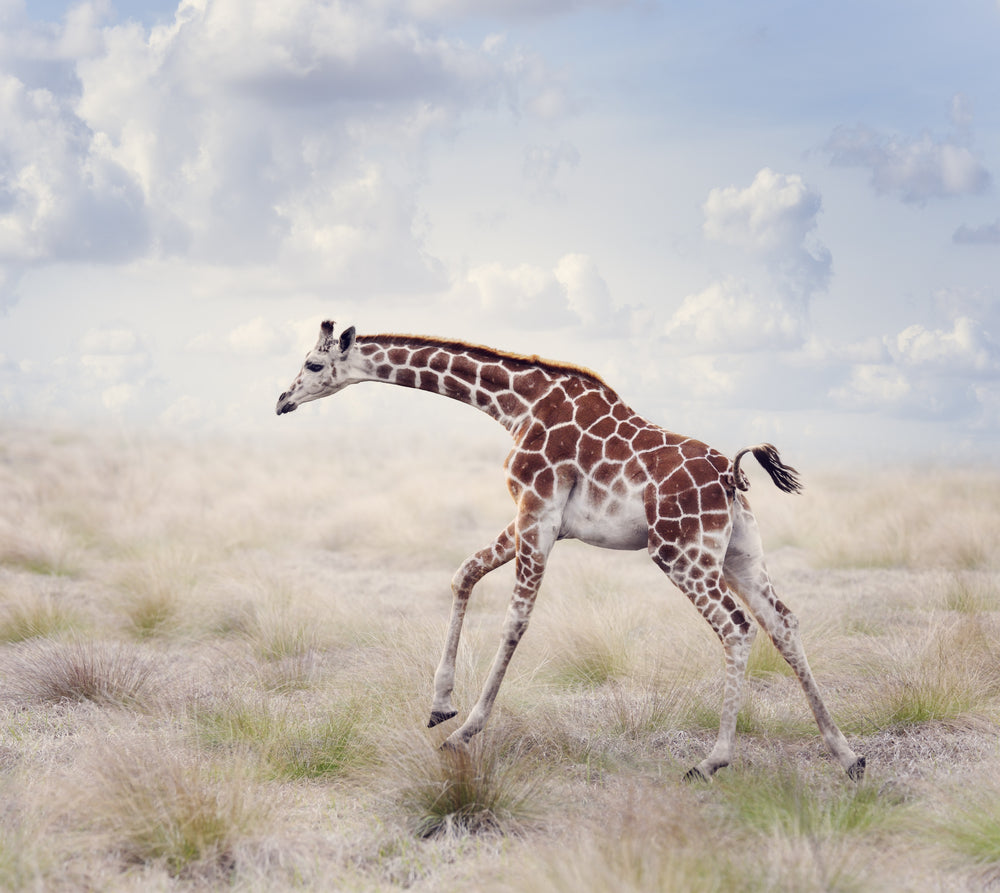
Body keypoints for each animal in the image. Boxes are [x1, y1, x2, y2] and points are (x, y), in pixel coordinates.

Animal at [276, 320, 865, 781]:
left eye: (311, 362)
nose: (281, 401)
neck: (515, 404)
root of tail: (731, 475)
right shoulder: (534, 520)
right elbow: (463, 574)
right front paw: (440, 705)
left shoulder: (536, 512)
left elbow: (515, 621)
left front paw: (465, 732)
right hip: (739, 554)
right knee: (783, 622)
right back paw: (847, 754)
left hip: (679, 551)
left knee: (738, 627)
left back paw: (712, 760)